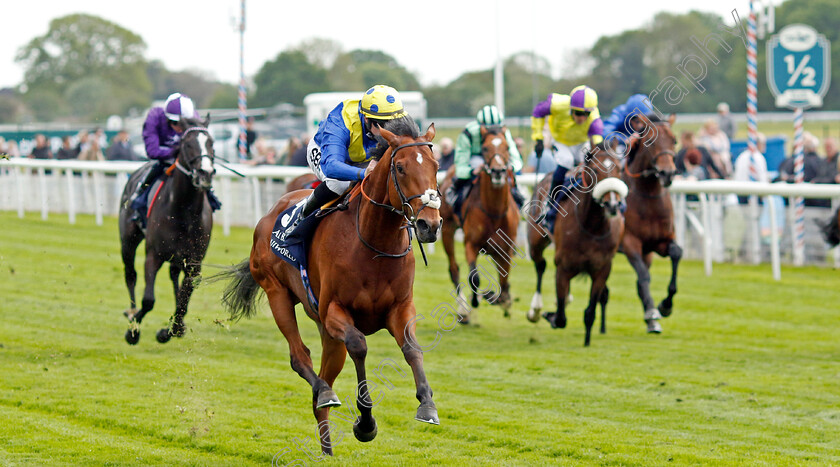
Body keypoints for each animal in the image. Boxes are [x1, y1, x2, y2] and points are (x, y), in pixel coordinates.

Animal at [119, 117, 217, 344]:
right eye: (187, 144)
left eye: (211, 143)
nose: (205, 173)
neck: (184, 210)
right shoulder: (153, 255)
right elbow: (149, 300)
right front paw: (133, 331)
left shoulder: (194, 261)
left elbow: (184, 298)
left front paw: (172, 329)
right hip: (128, 240)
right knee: (130, 274)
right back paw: (131, 312)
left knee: (174, 278)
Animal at [218, 120, 440, 458]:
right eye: (400, 168)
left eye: (436, 166)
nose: (431, 224)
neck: (374, 244)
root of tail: (270, 213)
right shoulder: (335, 310)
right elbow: (359, 345)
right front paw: (365, 423)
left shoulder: (400, 308)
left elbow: (412, 349)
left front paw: (427, 406)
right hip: (277, 293)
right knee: (301, 359)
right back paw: (325, 394)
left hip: (327, 334)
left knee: (322, 381)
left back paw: (326, 447)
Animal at [440, 126, 520, 322]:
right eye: (484, 148)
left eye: (508, 147)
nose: (498, 171)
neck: (494, 211)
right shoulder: (471, 244)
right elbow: (474, 277)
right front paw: (475, 300)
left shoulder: (506, 249)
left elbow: (504, 280)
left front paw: (501, 299)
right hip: (447, 229)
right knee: (454, 268)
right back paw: (463, 309)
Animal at [528, 144, 628, 346]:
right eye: (595, 170)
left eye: (619, 170)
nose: (613, 205)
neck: (592, 227)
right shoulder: (563, 266)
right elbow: (560, 318)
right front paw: (550, 315)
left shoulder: (602, 268)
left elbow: (590, 311)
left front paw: (587, 342)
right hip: (535, 242)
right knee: (540, 265)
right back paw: (535, 309)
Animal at [620, 115, 680, 334]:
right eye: (651, 142)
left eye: (674, 140)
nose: (667, 173)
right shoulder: (630, 243)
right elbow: (644, 277)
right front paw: (654, 311)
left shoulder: (659, 243)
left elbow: (676, 253)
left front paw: (665, 306)